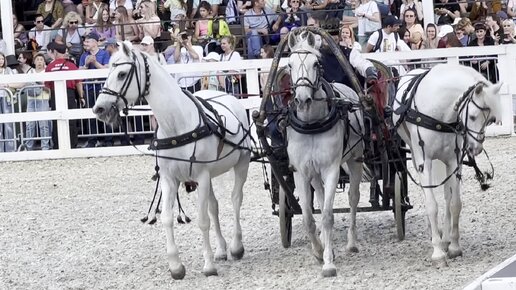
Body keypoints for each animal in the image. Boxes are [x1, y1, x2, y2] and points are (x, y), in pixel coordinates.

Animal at [91, 42, 252, 278]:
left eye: (121, 74)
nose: (99, 109)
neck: (177, 124)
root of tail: (227, 97)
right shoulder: (169, 179)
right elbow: (167, 218)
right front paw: (176, 266)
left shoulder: (201, 176)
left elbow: (202, 221)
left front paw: (208, 266)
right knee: (214, 206)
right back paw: (221, 250)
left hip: (241, 163)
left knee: (236, 199)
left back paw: (236, 246)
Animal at [286, 31, 366, 276]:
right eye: (289, 64)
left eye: (315, 63)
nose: (303, 99)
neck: (312, 124)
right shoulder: (301, 172)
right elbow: (309, 218)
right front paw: (319, 251)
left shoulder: (331, 169)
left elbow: (329, 216)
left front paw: (329, 262)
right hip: (314, 173)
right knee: (321, 200)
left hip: (356, 159)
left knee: (353, 198)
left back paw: (352, 243)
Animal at [394, 64, 502, 268]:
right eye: (473, 116)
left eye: (490, 120)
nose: (476, 149)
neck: (440, 113)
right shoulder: (424, 161)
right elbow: (431, 205)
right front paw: (437, 252)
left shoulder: (454, 160)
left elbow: (455, 203)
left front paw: (453, 246)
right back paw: (434, 234)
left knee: (447, 196)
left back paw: (444, 239)